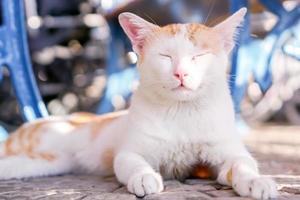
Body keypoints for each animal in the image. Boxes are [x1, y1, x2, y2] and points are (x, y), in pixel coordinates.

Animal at [0, 7, 276, 198]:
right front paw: (144, 178)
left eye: (199, 56)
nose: (181, 73)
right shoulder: (129, 152)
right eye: (165, 57)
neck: (182, 112)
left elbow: (243, 165)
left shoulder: (227, 154)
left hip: (45, 162)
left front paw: (257, 182)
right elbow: (134, 164)